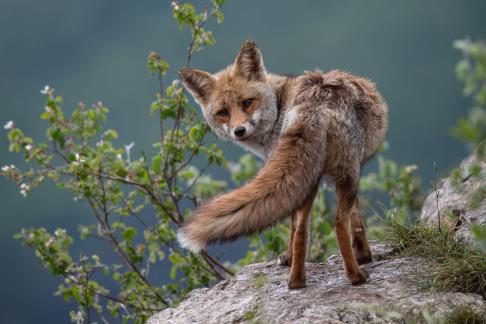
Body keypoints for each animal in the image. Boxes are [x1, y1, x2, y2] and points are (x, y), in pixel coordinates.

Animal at [178, 41, 388, 288]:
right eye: (223, 112)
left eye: (247, 102)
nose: (239, 131)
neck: (279, 106)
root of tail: (315, 104)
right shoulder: (351, 170)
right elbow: (354, 221)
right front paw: (364, 256)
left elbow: (329, 221)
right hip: (334, 175)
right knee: (336, 222)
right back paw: (355, 277)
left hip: (312, 178)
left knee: (301, 229)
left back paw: (296, 281)